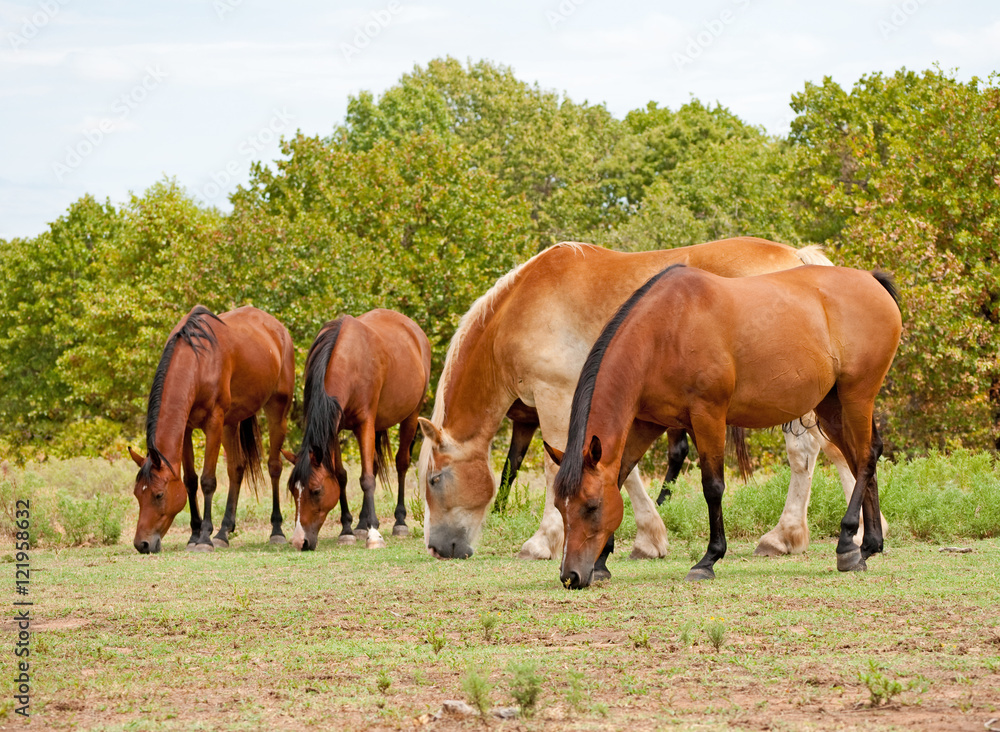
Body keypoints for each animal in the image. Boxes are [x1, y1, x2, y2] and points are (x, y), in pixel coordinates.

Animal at [128, 306, 296, 552]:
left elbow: (208, 481)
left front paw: (205, 537)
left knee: (274, 467)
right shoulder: (187, 429)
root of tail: (280, 330)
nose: (142, 544)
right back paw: (224, 532)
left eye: (158, 495)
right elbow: (190, 481)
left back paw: (276, 530)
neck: (198, 362)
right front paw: (194, 534)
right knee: (236, 469)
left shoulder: (214, 423)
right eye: (137, 494)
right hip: (231, 423)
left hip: (276, 412)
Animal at [286, 308, 434, 548]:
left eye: (316, 491)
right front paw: (347, 529)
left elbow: (366, 479)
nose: (301, 542)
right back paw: (362, 524)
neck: (349, 361)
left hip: (411, 416)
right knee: (373, 464)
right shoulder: (334, 428)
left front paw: (374, 535)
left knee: (401, 464)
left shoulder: (365, 424)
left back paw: (399, 522)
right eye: (292, 491)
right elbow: (341, 476)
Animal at [416, 237, 884, 564]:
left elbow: (557, 470)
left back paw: (785, 536)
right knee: (840, 450)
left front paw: (543, 542)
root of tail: (800, 258)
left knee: (807, 453)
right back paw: (861, 535)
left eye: (434, 480)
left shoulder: (556, 397)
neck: (523, 305)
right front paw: (647, 538)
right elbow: (619, 468)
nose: (437, 548)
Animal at [552, 264, 904, 588]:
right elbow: (620, 476)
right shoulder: (647, 423)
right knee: (863, 456)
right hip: (832, 406)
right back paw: (868, 546)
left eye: (592, 507)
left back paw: (847, 544)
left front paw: (708, 559)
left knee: (864, 458)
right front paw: (601, 562)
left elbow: (713, 487)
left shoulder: (708, 416)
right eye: (559, 506)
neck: (666, 330)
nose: (571, 576)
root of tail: (872, 280)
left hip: (857, 397)